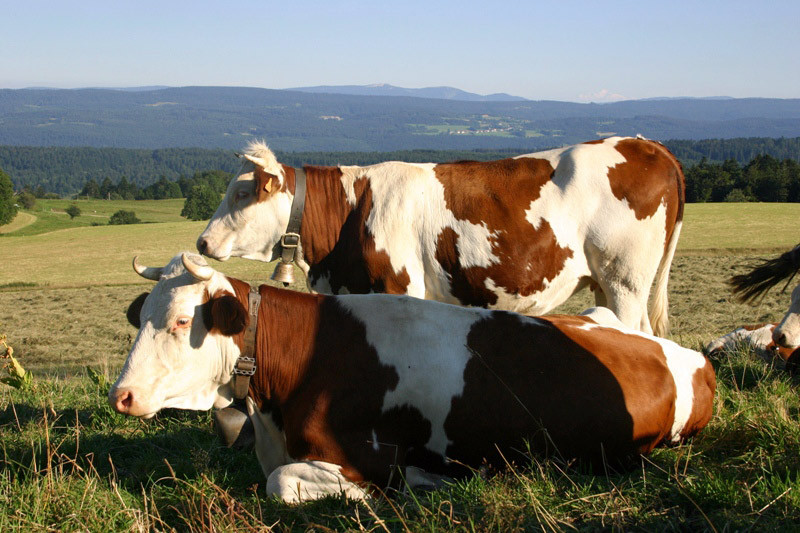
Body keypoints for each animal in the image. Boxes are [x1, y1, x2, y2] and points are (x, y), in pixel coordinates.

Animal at [109, 252, 715, 503]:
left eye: (181, 320)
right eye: (142, 316)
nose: (122, 395)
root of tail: (694, 359)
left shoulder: (368, 455)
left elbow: (282, 484)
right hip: (595, 313)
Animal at [196, 136, 685, 336]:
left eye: (241, 193)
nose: (201, 243)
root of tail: (645, 143)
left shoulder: (398, 287)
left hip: (626, 280)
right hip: (606, 283)